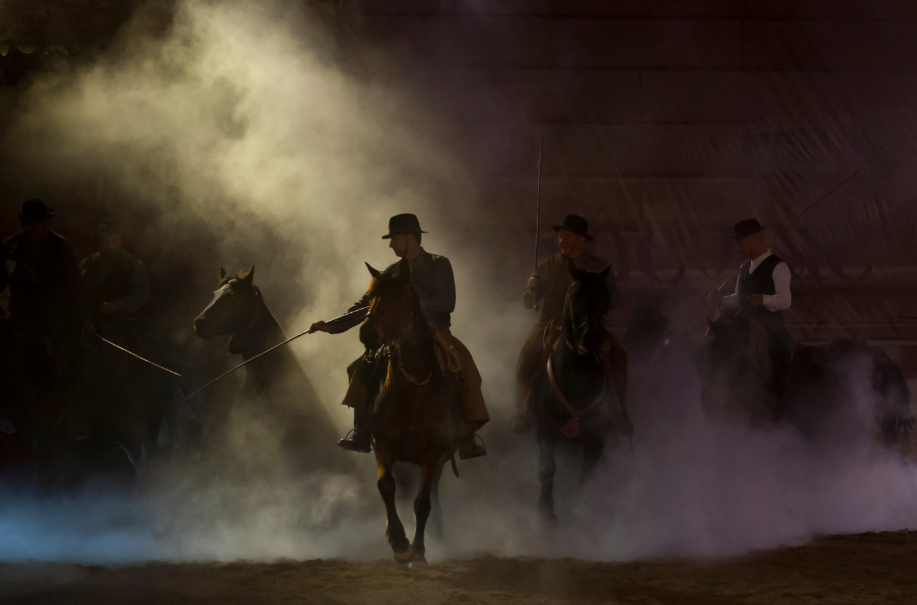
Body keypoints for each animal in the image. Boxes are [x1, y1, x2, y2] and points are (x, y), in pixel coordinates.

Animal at [356, 258, 458, 568]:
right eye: (370, 296)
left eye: (399, 296)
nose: (367, 333)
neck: (412, 392)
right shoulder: (384, 445)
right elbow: (386, 486)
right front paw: (400, 543)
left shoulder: (432, 453)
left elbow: (422, 503)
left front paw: (419, 552)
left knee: (430, 493)